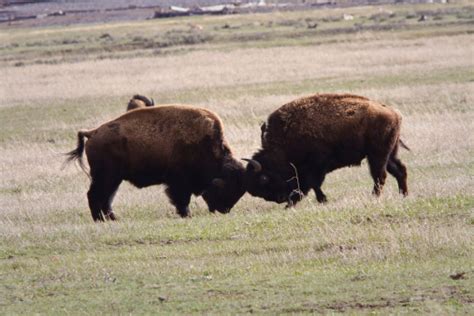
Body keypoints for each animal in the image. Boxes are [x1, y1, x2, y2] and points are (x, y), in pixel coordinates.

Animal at [64, 105, 244, 221]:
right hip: (106, 177)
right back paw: (100, 220)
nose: (224, 210)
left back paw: (112, 218)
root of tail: (92, 132)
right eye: (228, 187)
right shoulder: (179, 183)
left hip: (114, 179)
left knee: (106, 198)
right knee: (95, 195)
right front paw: (187, 215)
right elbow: (181, 200)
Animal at [244, 93, 408, 207]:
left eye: (264, 178)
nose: (279, 199)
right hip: (389, 154)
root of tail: (394, 113)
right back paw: (403, 195)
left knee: (380, 176)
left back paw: (374, 197)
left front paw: (321, 200)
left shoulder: (316, 166)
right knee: (399, 170)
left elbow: (314, 184)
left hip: (377, 155)